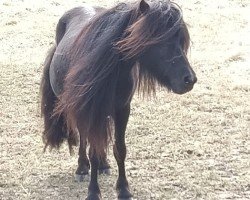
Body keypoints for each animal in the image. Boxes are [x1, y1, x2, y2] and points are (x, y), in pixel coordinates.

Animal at [40, 0, 197, 199]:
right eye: (161, 39)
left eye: (180, 40)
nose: (189, 80)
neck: (112, 69)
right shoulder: (91, 110)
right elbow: (92, 148)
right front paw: (93, 191)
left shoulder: (122, 110)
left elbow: (120, 149)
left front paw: (123, 189)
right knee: (84, 138)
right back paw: (82, 168)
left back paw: (103, 165)